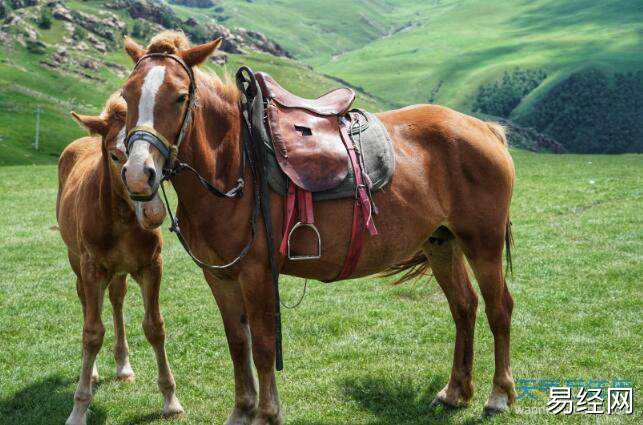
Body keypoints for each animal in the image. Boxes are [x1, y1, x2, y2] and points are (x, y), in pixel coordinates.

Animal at [57, 93, 184, 424]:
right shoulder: (91, 268)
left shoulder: (151, 266)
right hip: (77, 261)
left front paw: (170, 400)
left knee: (116, 299)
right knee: (88, 304)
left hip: (120, 271)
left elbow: (154, 327)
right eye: (115, 156)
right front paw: (79, 408)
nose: (153, 212)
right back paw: (92, 372)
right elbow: (91, 332)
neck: (123, 220)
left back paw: (123, 367)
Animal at [119, 31, 512, 422]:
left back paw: (498, 395)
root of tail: (484, 128)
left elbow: (263, 345)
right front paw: (242, 409)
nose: (139, 175)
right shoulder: (219, 277)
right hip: (442, 243)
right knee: (464, 307)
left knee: (499, 308)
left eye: (180, 96)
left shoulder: (257, 274)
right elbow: (238, 343)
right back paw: (455, 392)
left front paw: (267, 412)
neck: (233, 166)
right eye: (126, 95)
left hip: (483, 244)